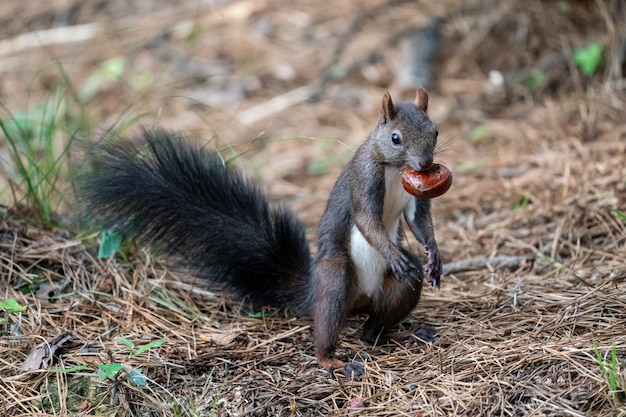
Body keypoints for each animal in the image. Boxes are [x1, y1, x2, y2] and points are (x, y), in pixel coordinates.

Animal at [78, 87, 438, 376]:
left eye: (434, 131)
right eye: (395, 138)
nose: (424, 165)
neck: (394, 168)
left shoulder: (415, 198)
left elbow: (420, 221)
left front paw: (434, 255)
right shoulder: (363, 180)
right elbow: (367, 220)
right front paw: (393, 253)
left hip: (392, 291)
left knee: (374, 327)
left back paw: (403, 332)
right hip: (336, 275)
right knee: (332, 319)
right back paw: (330, 360)